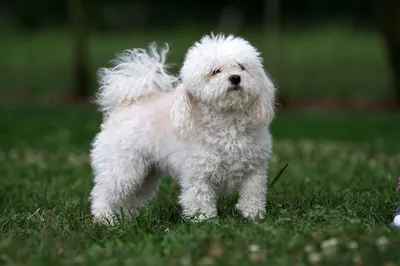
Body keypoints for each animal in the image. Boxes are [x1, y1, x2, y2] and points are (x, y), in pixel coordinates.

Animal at [90, 33, 276, 224]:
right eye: (215, 71)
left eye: (241, 67)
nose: (235, 78)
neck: (227, 122)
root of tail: (125, 103)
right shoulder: (198, 172)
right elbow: (200, 199)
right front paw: (205, 221)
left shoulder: (254, 169)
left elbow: (253, 194)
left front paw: (253, 215)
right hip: (122, 165)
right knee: (104, 193)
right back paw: (105, 218)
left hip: (145, 174)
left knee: (129, 198)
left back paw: (125, 219)